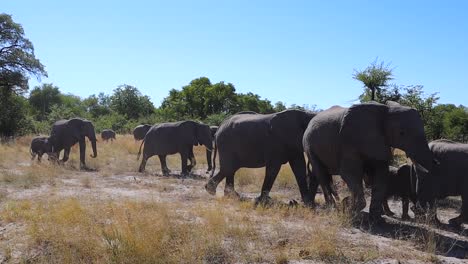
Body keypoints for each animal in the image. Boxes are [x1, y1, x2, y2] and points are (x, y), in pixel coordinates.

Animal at [304, 102, 432, 222]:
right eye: (401, 133)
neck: (386, 110)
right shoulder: (348, 142)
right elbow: (349, 173)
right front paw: (350, 211)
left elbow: (381, 175)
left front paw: (377, 220)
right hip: (308, 146)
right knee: (321, 175)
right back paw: (333, 208)